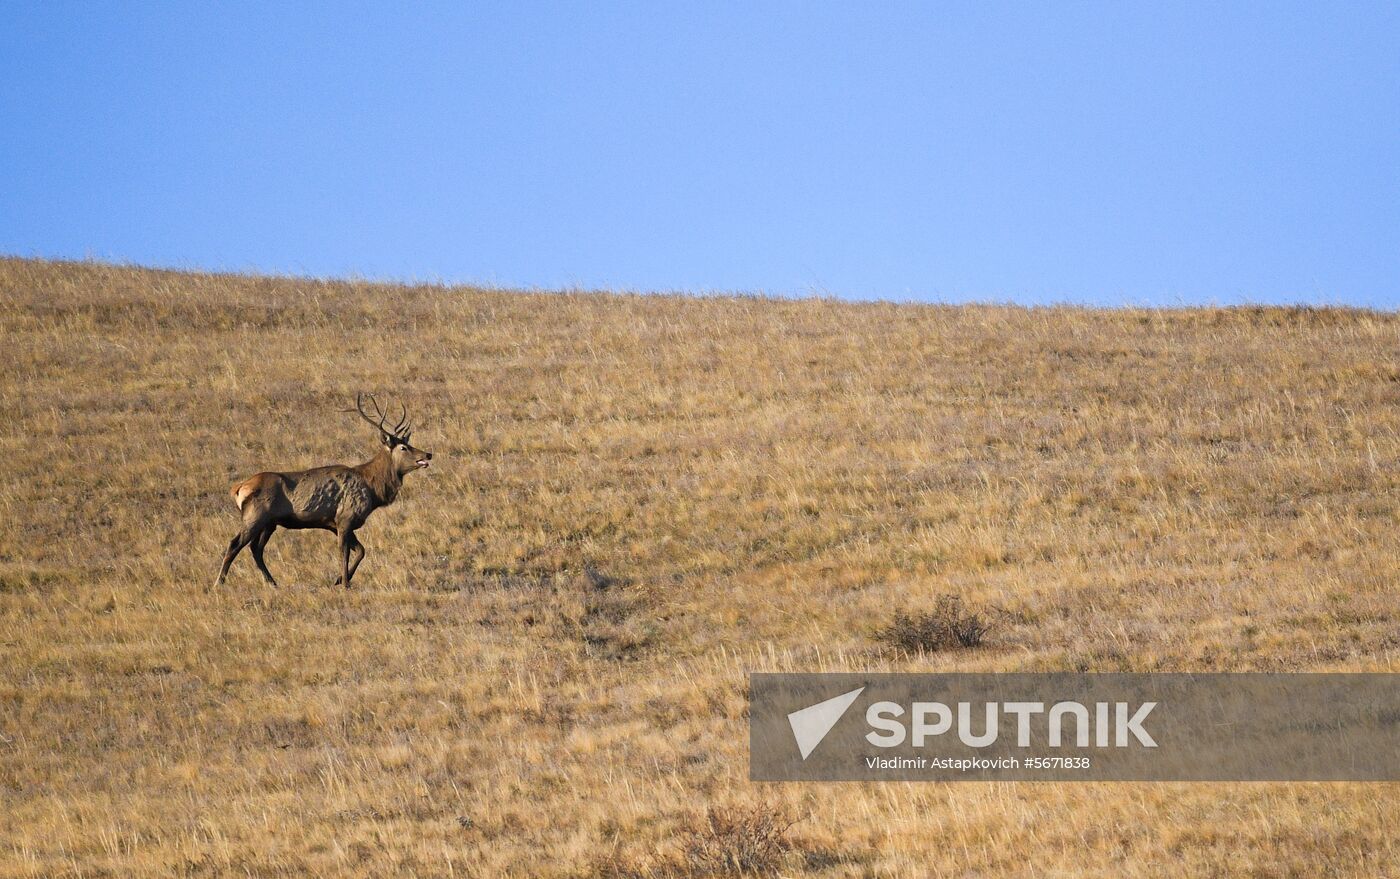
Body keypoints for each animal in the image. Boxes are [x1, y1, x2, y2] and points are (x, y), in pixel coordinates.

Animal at [212, 397, 428, 590]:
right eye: (404, 447)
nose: (428, 454)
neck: (373, 489)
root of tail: (239, 488)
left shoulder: (335, 524)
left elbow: (361, 551)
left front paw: (339, 580)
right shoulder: (345, 518)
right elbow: (345, 553)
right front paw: (345, 583)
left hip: (269, 523)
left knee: (256, 549)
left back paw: (272, 582)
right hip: (255, 516)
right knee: (235, 544)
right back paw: (219, 582)